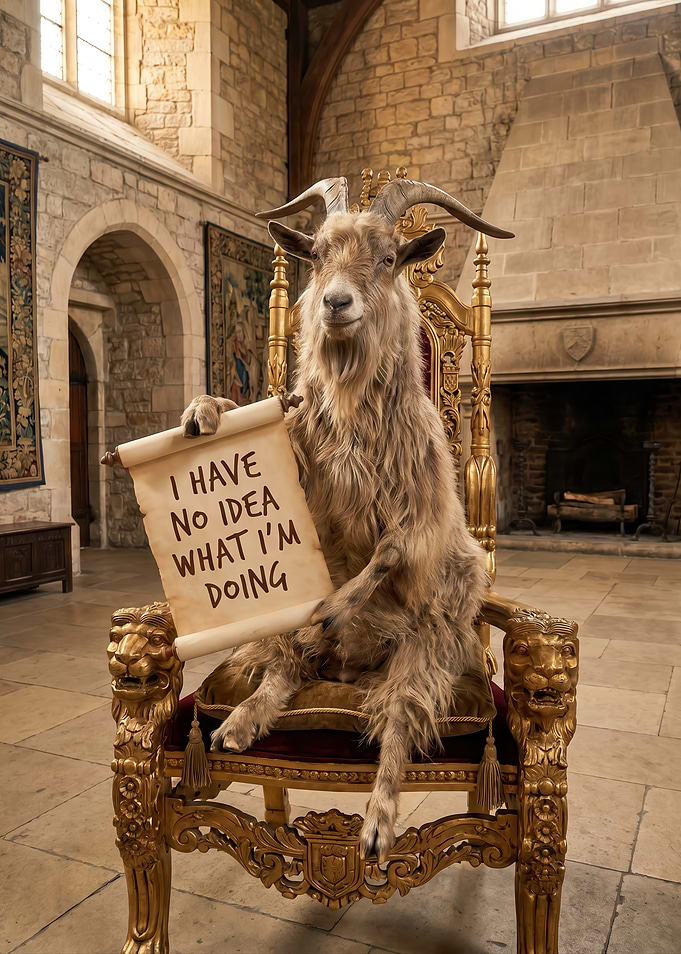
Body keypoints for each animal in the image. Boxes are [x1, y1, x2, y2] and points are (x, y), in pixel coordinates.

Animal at [182, 177, 513, 860]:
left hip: (428, 644)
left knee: (400, 716)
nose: (336, 302)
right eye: (316, 257)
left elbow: (390, 549)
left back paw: (377, 823)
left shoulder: (423, 514)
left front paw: (337, 604)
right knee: (285, 666)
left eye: (387, 258)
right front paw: (205, 411)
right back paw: (240, 721)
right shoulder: (301, 462)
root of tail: (351, 669)